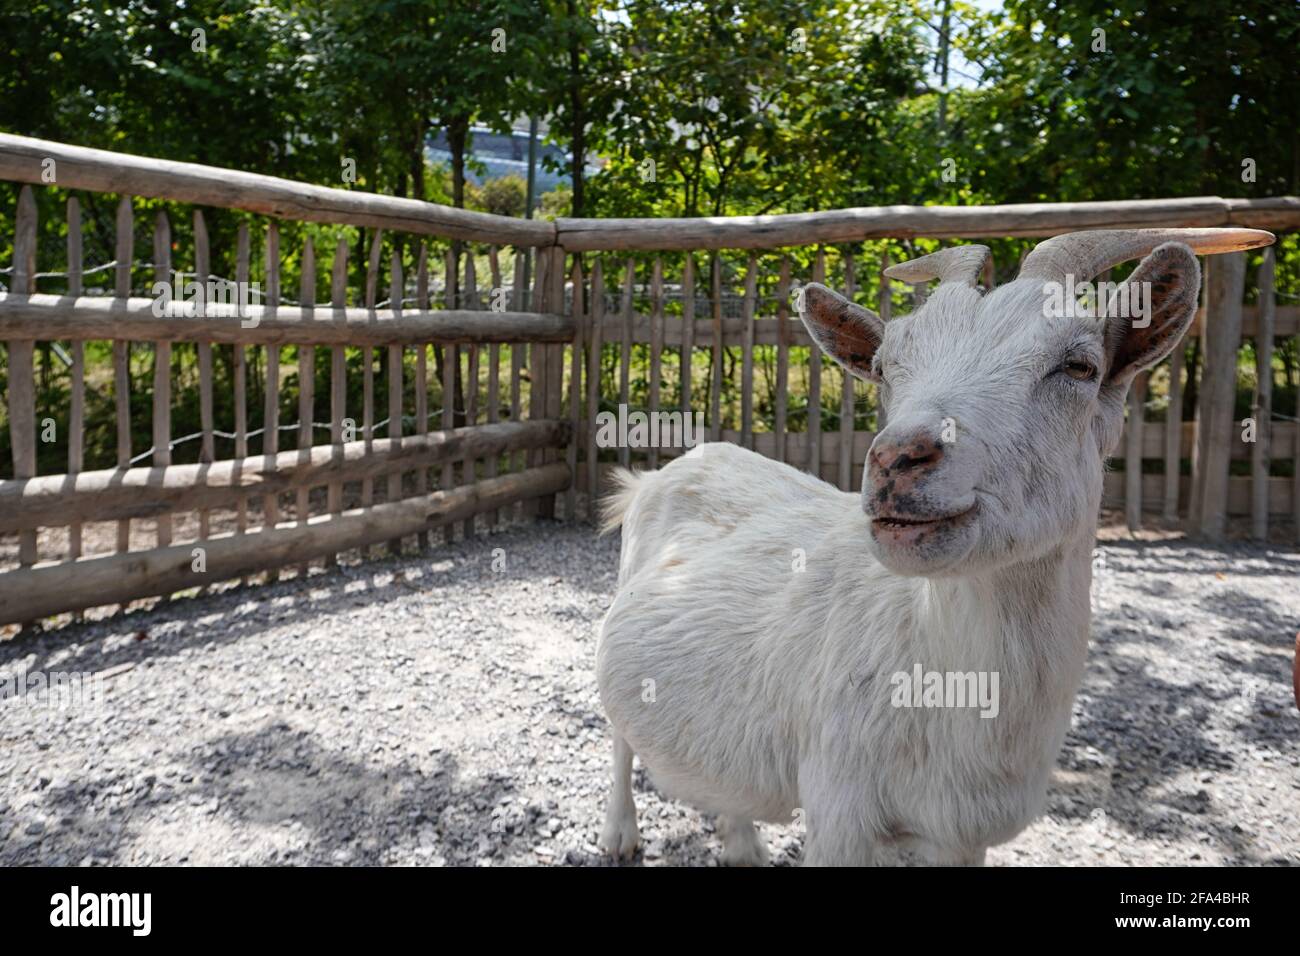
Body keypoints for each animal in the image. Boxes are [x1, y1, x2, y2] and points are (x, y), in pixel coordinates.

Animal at [595, 226, 1274, 868]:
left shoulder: (962, 837)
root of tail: (663, 472)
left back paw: (741, 844)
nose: (897, 459)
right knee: (622, 739)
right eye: (887, 367)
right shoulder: (837, 808)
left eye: (1079, 366)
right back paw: (620, 835)